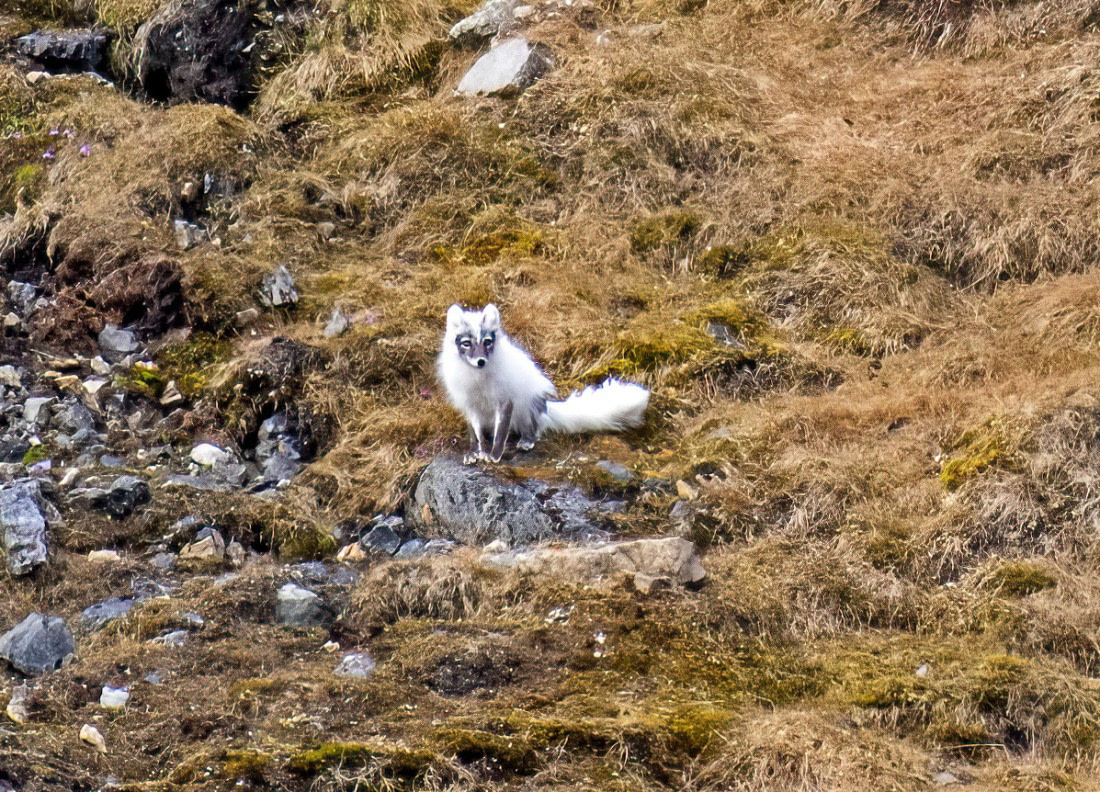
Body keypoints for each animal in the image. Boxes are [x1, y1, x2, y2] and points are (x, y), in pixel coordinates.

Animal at [438, 304, 650, 464]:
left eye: (487, 341)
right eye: (467, 343)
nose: (481, 361)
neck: (478, 379)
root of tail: (544, 408)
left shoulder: (506, 400)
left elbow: (501, 433)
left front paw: (495, 455)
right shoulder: (469, 404)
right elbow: (476, 435)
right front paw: (476, 453)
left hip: (526, 406)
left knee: (533, 428)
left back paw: (526, 441)